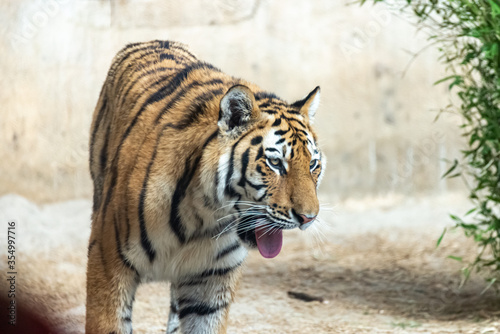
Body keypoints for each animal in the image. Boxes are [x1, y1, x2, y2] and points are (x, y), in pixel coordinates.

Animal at [87, 39, 324, 334]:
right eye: (275, 163)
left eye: (313, 165)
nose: (308, 218)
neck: (204, 216)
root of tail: (151, 41)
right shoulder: (108, 263)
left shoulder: (211, 284)